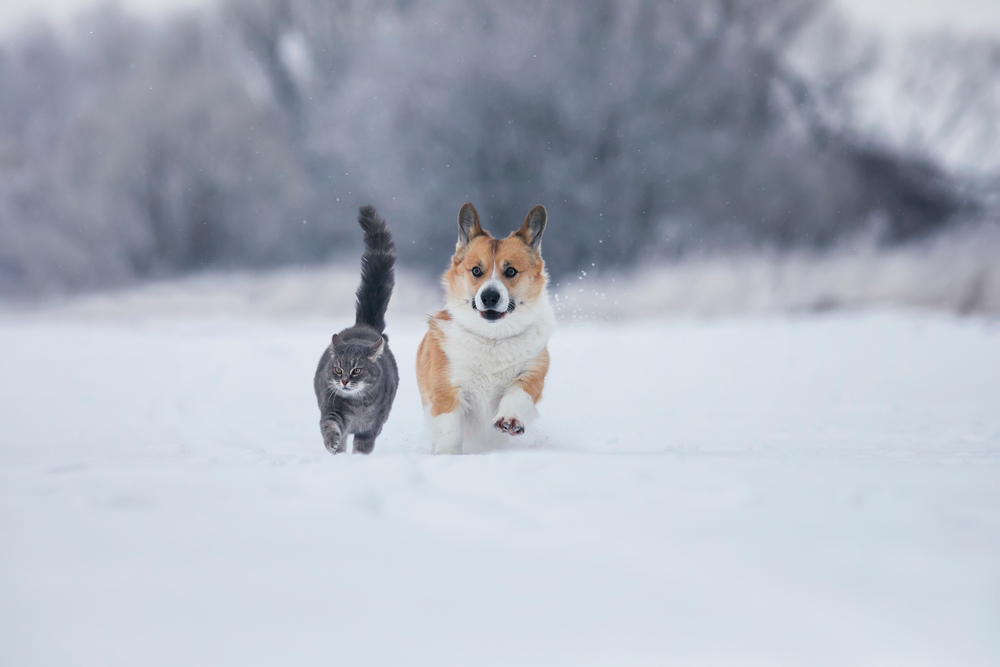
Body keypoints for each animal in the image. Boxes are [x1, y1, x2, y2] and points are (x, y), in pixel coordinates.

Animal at [316, 206, 402, 456]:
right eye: (337, 369)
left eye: (356, 371)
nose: (344, 381)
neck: (356, 405)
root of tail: (364, 325)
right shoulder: (331, 408)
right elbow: (330, 426)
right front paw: (333, 444)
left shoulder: (372, 426)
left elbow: (363, 446)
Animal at [414, 204, 556, 454]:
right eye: (476, 271)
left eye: (511, 271)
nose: (489, 296)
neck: (492, 337)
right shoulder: (446, 389)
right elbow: (450, 429)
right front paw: (448, 455)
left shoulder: (533, 372)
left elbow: (518, 394)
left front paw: (510, 419)